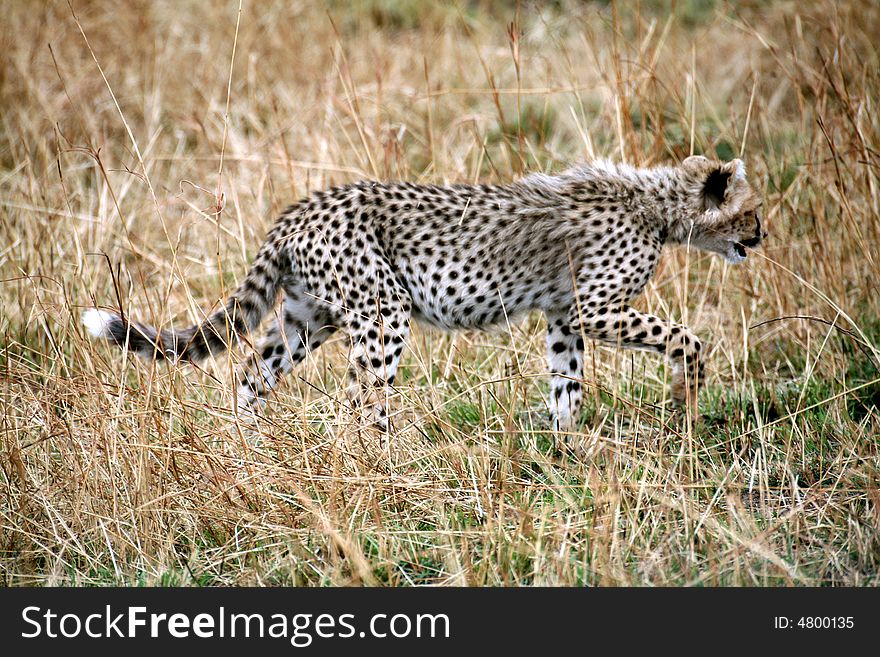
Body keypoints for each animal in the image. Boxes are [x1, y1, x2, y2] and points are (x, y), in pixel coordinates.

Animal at [82, 155, 764, 436]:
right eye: (751, 209)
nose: (761, 234)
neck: (658, 205)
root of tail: (302, 206)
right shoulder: (593, 310)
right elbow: (685, 337)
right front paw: (687, 396)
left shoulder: (564, 316)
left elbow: (566, 381)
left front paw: (565, 445)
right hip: (384, 311)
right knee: (362, 405)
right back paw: (386, 466)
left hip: (310, 318)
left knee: (251, 376)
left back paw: (249, 451)